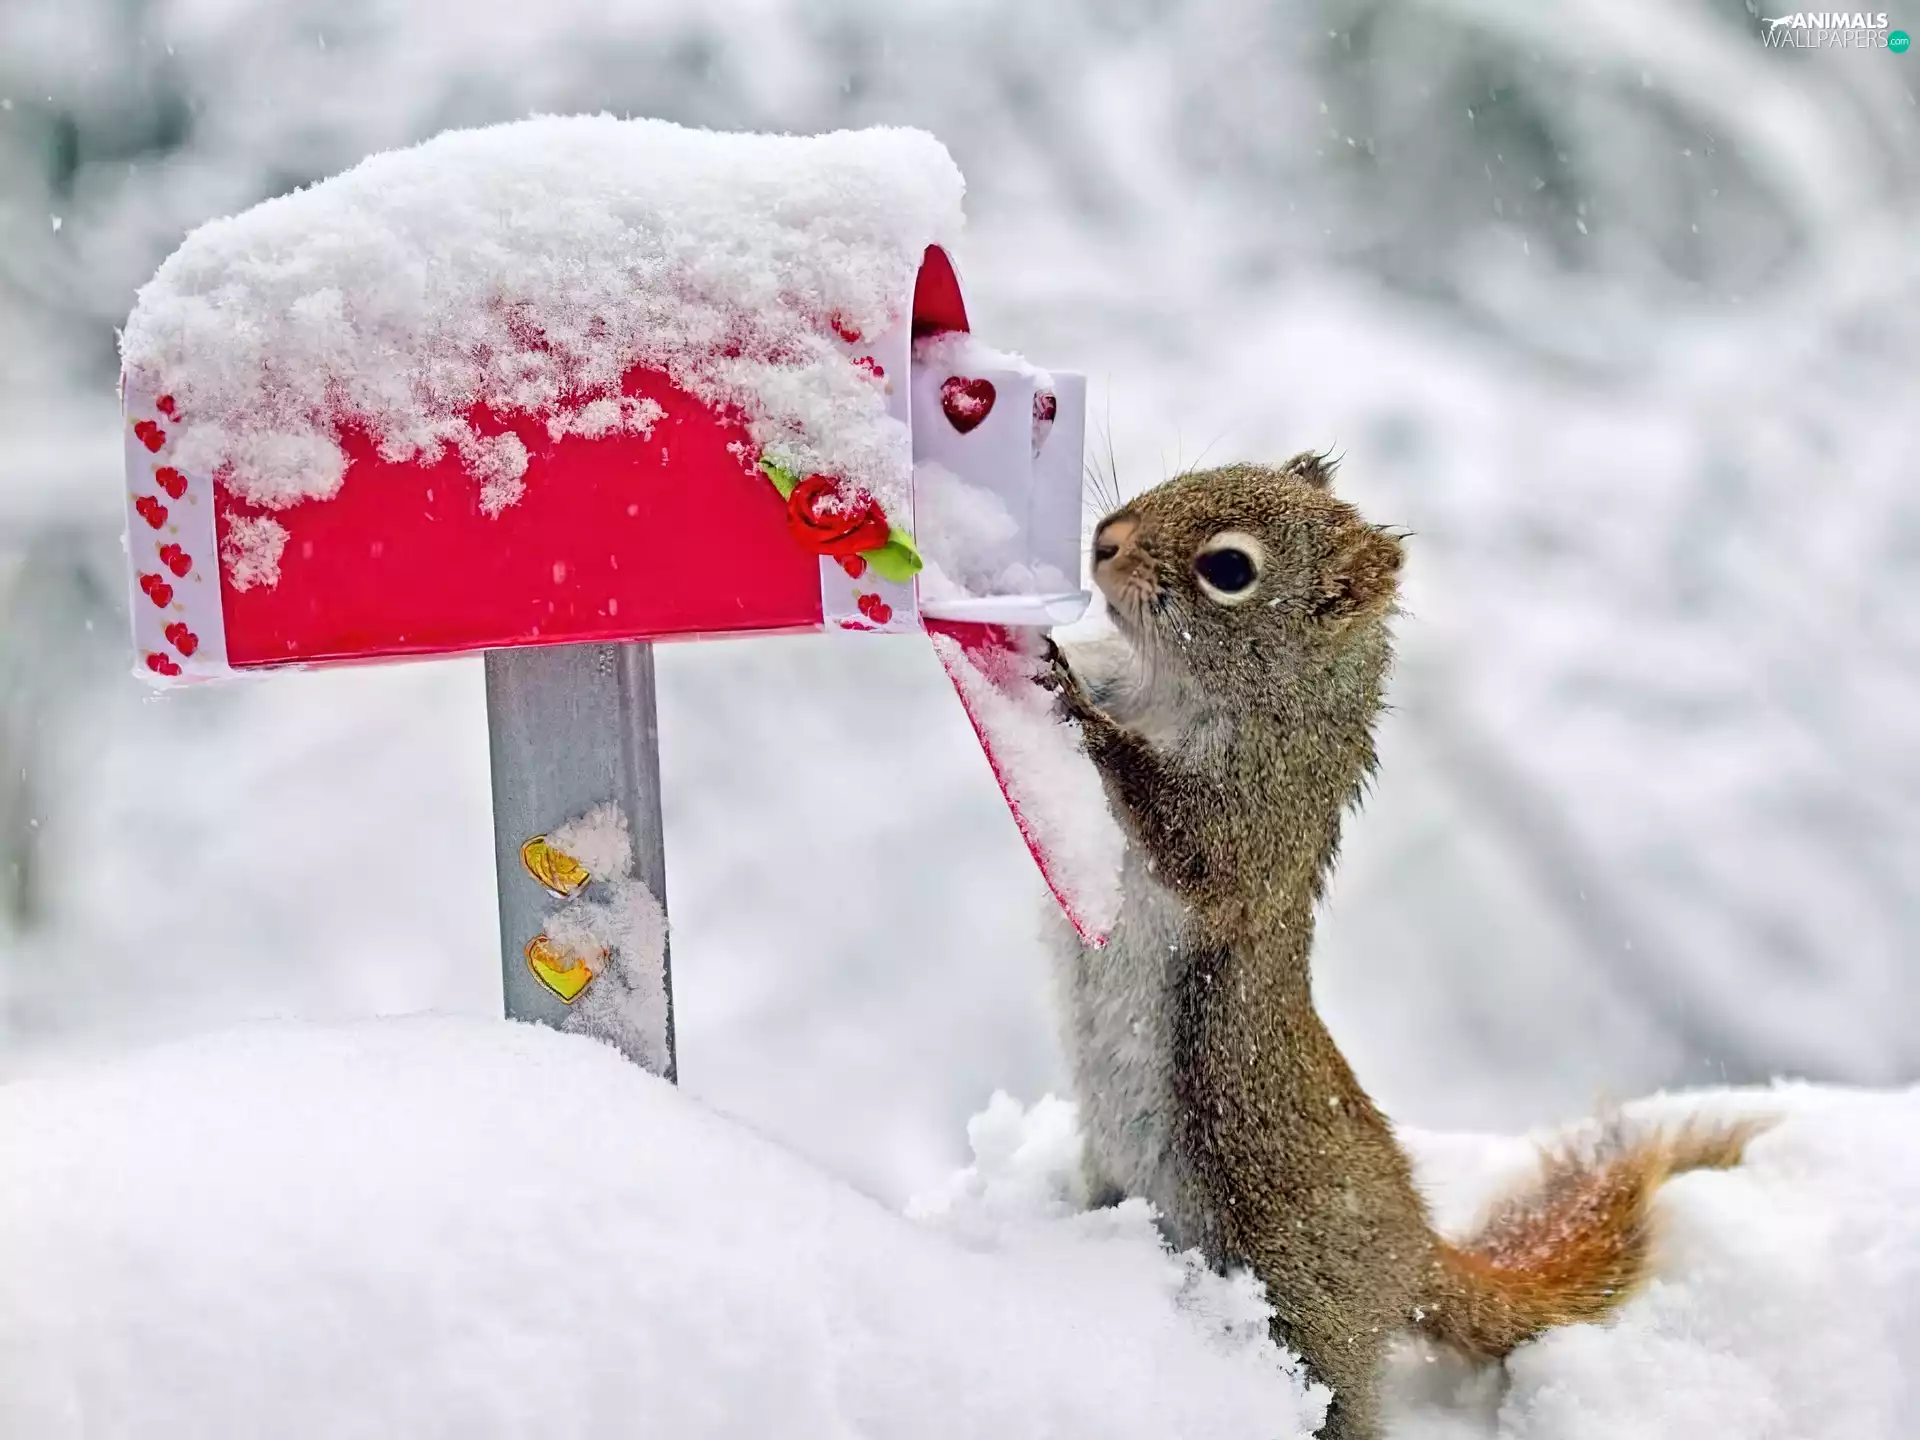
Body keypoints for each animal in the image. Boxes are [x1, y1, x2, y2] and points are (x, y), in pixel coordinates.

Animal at [1042, 454, 1761, 1440]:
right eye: (1199, 469)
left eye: (1229, 570)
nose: (1107, 540)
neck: (1167, 686)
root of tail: (1414, 1246)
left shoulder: (1260, 821)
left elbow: (1187, 841)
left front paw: (1078, 708)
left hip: (1303, 1293)